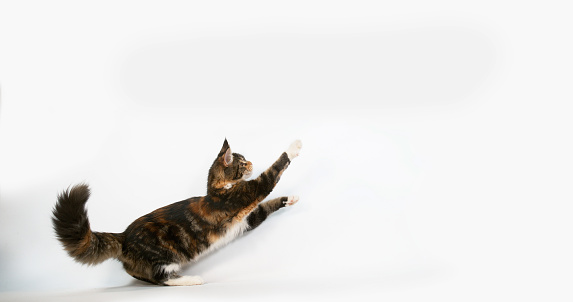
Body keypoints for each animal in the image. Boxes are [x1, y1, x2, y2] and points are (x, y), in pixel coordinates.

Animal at [53, 139, 302, 286]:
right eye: (241, 162)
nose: (251, 162)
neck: (218, 190)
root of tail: (123, 236)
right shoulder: (248, 194)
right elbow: (273, 172)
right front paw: (294, 147)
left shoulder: (245, 220)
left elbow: (267, 207)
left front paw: (290, 199)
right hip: (165, 257)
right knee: (160, 279)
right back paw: (193, 280)